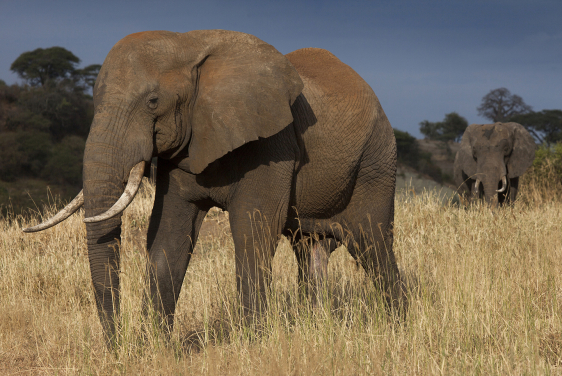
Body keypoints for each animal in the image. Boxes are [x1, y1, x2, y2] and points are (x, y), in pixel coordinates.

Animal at [24, 29, 400, 340]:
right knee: (309, 249)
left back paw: (397, 326)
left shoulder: (273, 144)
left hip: (376, 161)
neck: (188, 45)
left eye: (153, 102)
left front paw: (253, 342)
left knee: (372, 242)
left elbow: (252, 228)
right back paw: (315, 328)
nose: (117, 346)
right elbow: (169, 235)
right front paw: (155, 346)